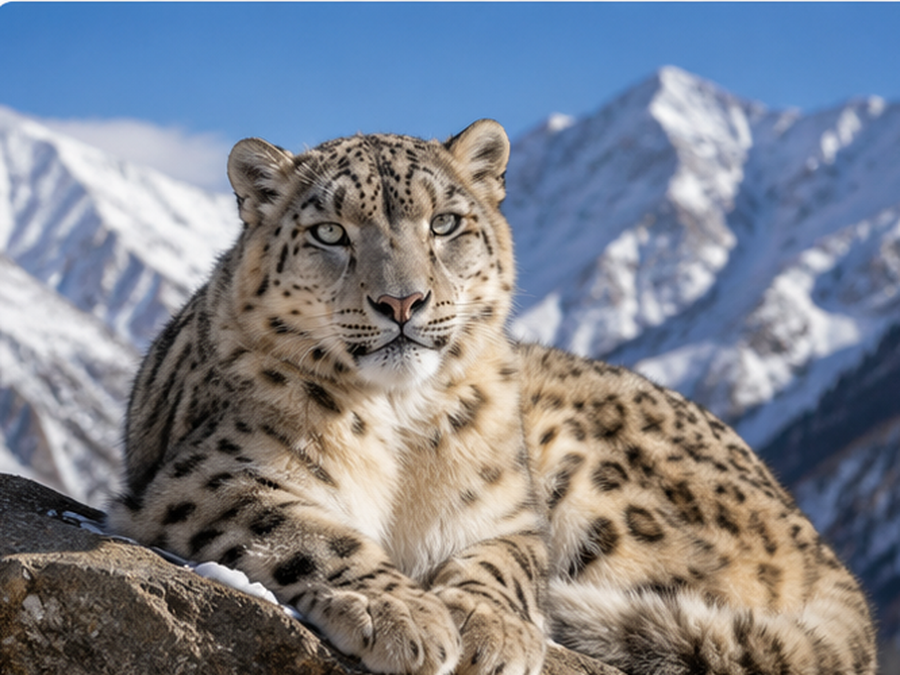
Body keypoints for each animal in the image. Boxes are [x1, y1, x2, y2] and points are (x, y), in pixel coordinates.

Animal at [108, 119, 876, 675]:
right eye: (330, 231)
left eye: (444, 223)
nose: (401, 301)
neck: (401, 421)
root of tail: (823, 549)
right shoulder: (218, 476)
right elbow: (312, 533)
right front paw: (402, 616)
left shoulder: (510, 507)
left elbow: (503, 561)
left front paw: (488, 627)